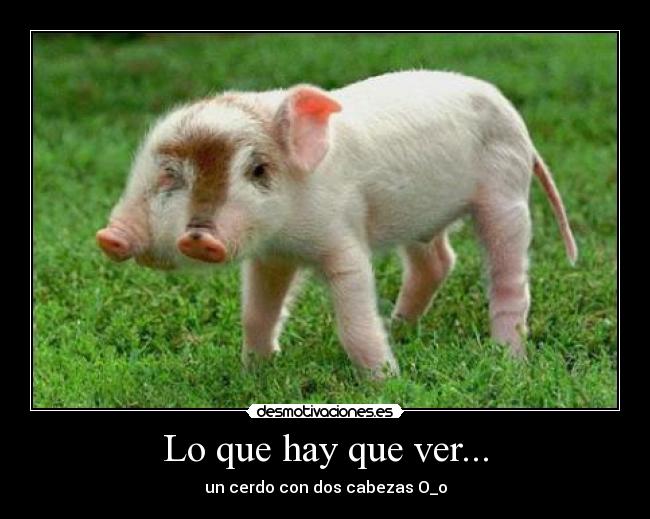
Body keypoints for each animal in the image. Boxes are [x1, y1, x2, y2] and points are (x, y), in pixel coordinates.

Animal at [96, 70, 577, 378]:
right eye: (167, 174)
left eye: (257, 170)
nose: (109, 236)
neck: (288, 231)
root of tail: (514, 115)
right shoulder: (272, 256)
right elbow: (256, 313)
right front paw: (254, 371)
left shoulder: (343, 240)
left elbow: (354, 322)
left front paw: (387, 382)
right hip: (423, 220)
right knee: (438, 261)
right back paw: (400, 328)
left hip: (507, 190)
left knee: (509, 276)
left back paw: (509, 360)